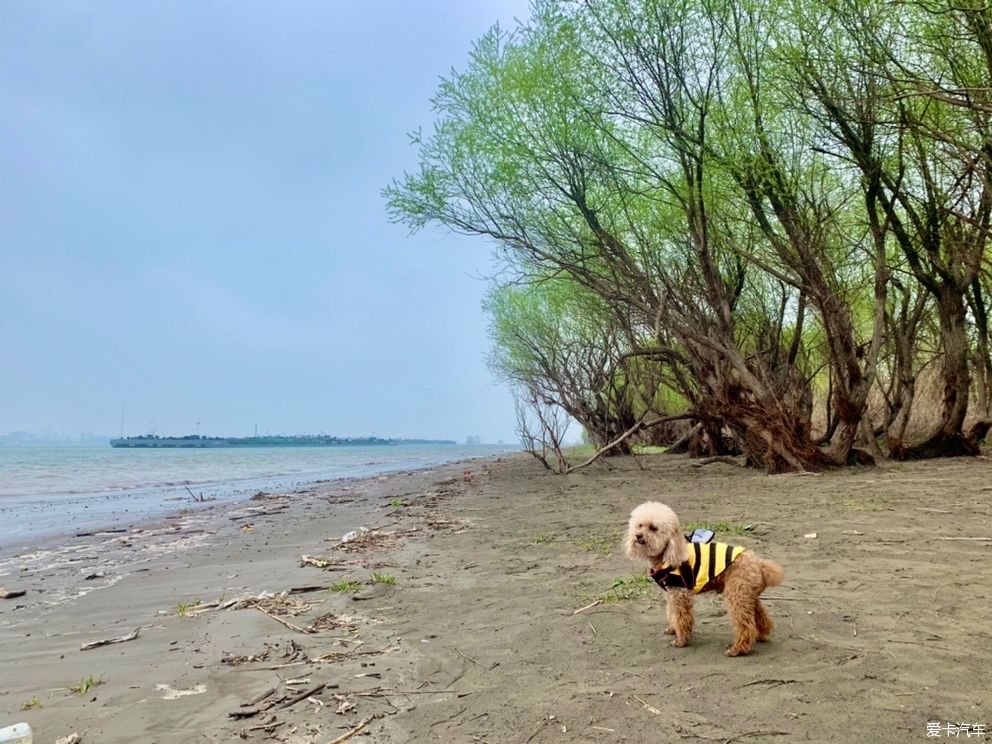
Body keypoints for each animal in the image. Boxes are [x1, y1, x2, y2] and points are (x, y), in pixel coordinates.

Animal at [628, 500, 784, 656]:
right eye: (639, 525)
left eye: (653, 528)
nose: (638, 536)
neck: (668, 552)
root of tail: (759, 563)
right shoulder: (671, 593)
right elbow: (672, 612)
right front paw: (673, 629)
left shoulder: (679, 593)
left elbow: (681, 617)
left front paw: (681, 640)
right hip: (747, 595)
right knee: (761, 617)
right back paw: (761, 634)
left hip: (736, 595)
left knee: (745, 626)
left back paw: (738, 649)